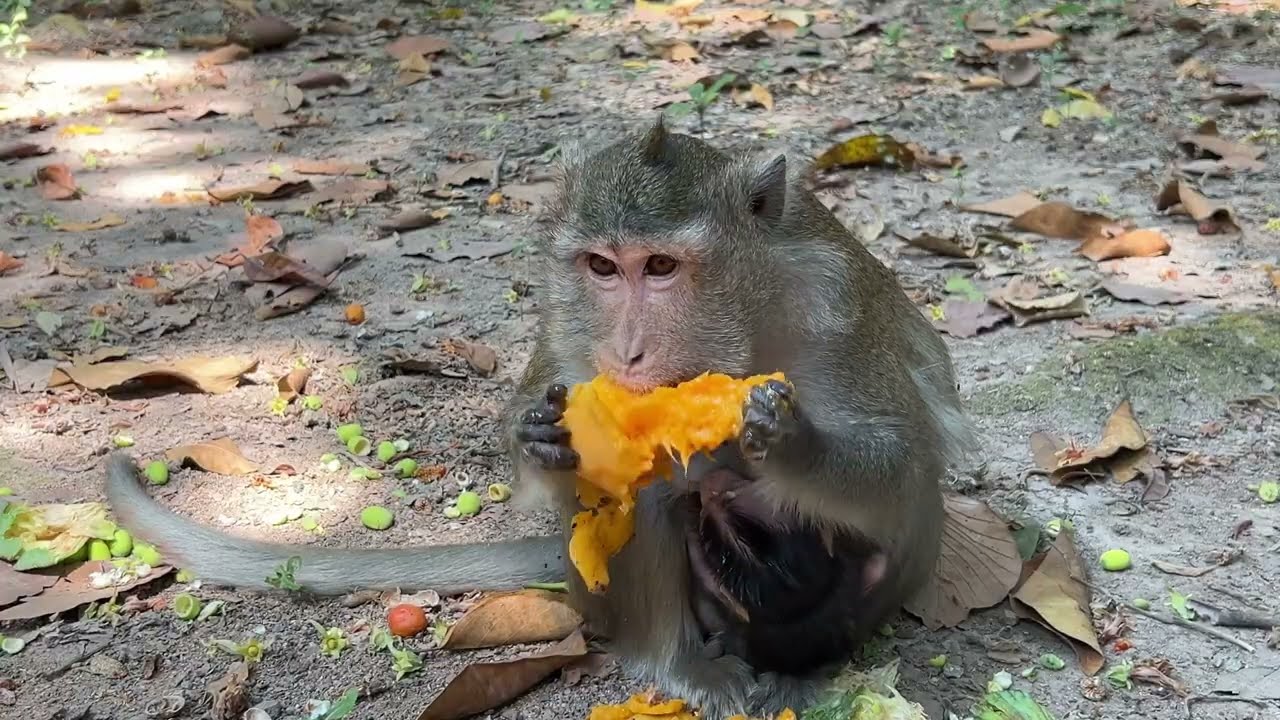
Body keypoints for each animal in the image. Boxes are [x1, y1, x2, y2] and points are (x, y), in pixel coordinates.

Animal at [102, 118, 973, 720]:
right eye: (601, 268)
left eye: (661, 266)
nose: (626, 351)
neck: (746, 325)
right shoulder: (567, 322)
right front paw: (538, 441)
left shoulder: (834, 308)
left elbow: (903, 470)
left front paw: (785, 441)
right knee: (645, 495)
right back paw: (677, 663)